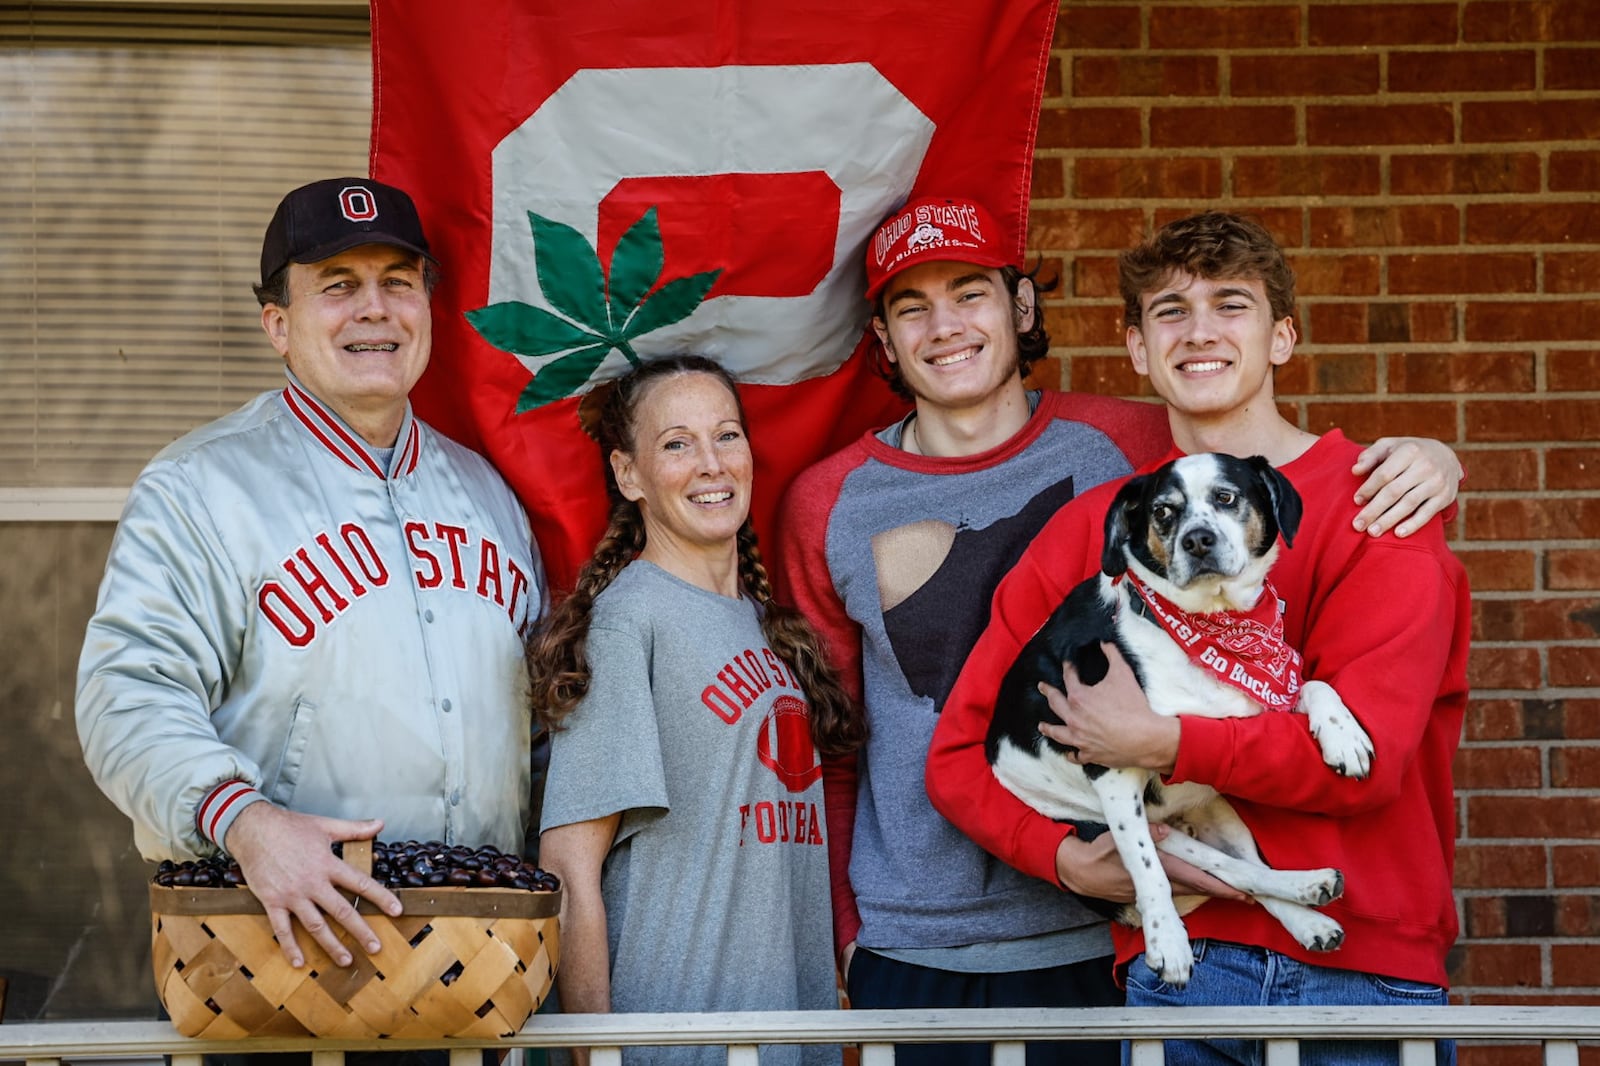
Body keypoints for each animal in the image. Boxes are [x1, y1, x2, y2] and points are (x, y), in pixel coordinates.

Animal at [985, 448, 1376, 979]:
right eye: (1163, 511)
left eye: (1226, 497)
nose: (1197, 540)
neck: (1208, 624)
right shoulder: (1111, 769)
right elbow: (1148, 871)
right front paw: (1166, 939)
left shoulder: (1254, 705)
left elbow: (1314, 683)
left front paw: (1343, 737)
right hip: (1134, 828)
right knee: (1227, 871)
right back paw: (1304, 889)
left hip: (1221, 813)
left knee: (1250, 871)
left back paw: (1307, 909)